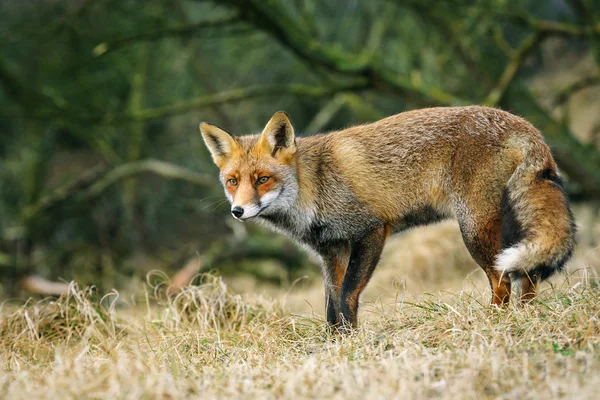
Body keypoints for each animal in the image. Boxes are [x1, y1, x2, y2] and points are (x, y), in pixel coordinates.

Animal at [200, 106, 576, 328]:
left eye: (262, 179)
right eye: (233, 182)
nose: (238, 211)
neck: (314, 185)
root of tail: (522, 123)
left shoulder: (371, 230)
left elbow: (347, 296)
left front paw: (351, 342)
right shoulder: (332, 251)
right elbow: (331, 305)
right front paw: (335, 345)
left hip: (474, 229)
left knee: (501, 281)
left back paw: (493, 321)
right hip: (508, 232)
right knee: (527, 277)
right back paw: (524, 318)